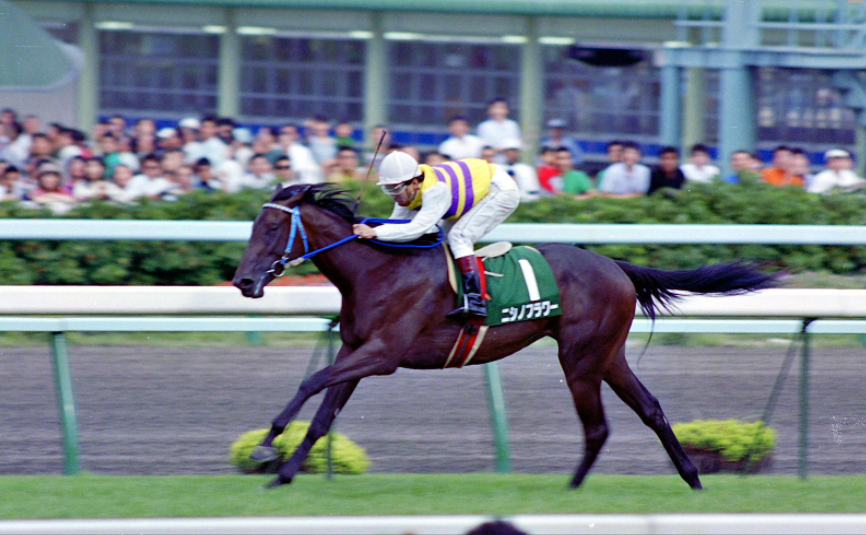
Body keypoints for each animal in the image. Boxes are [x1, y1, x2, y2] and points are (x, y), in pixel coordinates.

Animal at [232, 183, 777, 489]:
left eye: (271, 230)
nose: (243, 282)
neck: (378, 270)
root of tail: (615, 265)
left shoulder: (382, 354)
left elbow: (310, 382)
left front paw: (265, 447)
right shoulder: (356, 349)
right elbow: (324, 414)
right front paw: (283, 475)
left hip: (581, 359)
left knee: (598, 426)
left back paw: (573, 492)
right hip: (608, 355)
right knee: (650, 409)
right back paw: (690, 479)